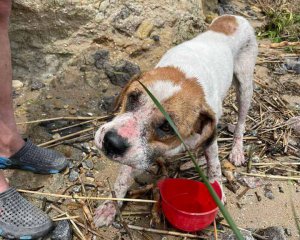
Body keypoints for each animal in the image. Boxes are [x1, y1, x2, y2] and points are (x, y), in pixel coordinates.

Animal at [93, 14, 258, 227]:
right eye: (133, 97)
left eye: (166, 126)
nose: (111, 143)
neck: (186, 76)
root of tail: (234, 17)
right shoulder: (134, 151)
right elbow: (122, 177)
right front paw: (110, 207)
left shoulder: (210, 136)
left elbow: (214, 165)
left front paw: (217, 191)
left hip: (245, 88)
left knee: (241, 123)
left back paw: (237, 149)